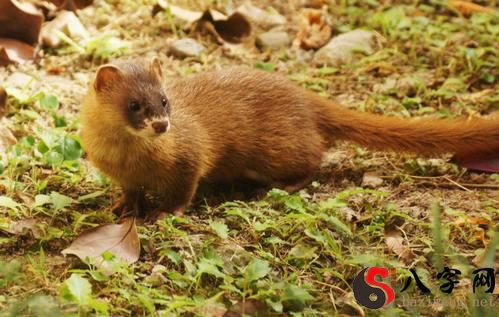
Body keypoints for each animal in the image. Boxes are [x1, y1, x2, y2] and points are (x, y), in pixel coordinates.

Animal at [80, 58, 498, 218]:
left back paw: (276, 188)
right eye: (134, 104)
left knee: (313, 160)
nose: (162, 125)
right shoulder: (120, 173)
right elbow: (130, 192)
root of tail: (304, 96)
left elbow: (184, 189)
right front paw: (121, 207)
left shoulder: (189, 158)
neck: (129, 158)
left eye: (165, 100)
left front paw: (167, 212)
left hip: (276, 149)